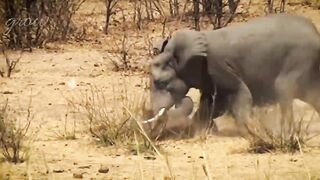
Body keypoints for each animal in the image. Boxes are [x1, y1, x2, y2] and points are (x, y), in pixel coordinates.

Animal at [149, 14, 320, 137]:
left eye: (161, 83)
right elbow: (212, 104)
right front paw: (201, 131)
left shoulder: (218, 66)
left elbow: (238, 93)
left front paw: (253, 133)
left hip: (300, 60)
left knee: (283, 89)